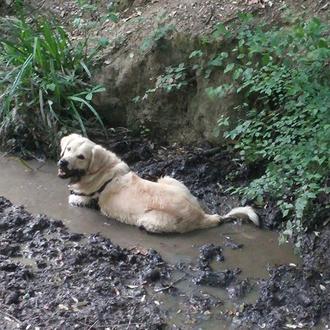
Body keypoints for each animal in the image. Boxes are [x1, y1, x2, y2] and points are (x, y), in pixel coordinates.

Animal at [58, 133, 260, 232]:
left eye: (81, 157)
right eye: (68, 149)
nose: (62, 162)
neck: (106, 172)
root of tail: (202, 216)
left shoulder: (88, 196)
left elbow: (74, 198)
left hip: (149, 220)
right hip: (169, 179)